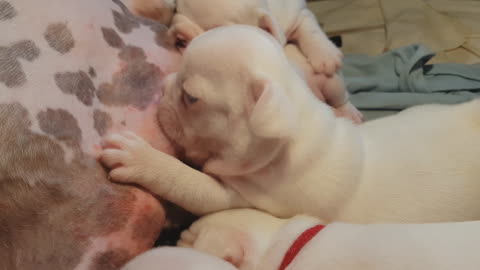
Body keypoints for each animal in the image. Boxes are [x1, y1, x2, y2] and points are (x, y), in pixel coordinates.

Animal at [125, 0, 362, 122]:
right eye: (182, 41)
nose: (186, 41)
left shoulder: (296, 12)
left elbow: (309, 26)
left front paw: (326, 55)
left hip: (334, 86)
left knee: (341, 97)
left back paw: (349, 112)